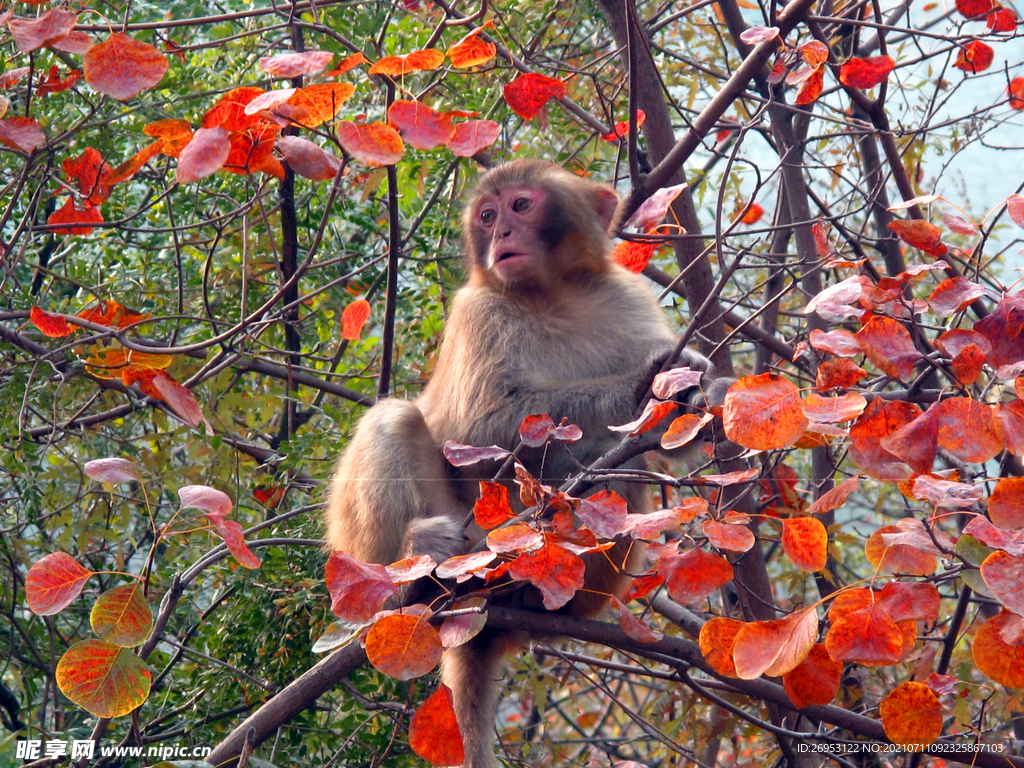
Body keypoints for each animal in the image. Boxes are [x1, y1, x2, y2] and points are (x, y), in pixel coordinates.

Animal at [325, 159, 720, 765]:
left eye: (521, 205)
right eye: (488, 216)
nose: (502, 234)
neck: (552, 293)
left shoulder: (625, 298)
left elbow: (673, 442)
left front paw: (698, 401)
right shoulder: (479, 311)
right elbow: (479, 427)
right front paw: (644, 384)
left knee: (615, 480)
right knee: (393, 420)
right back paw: (408, 582)